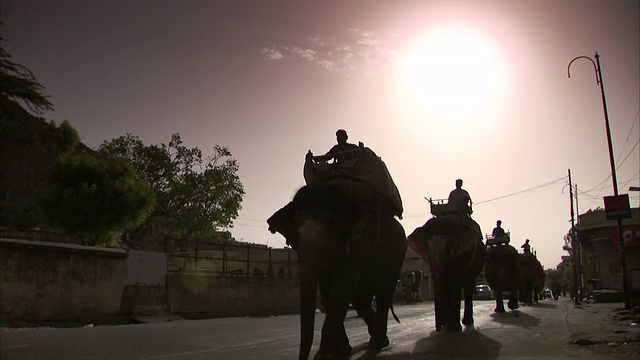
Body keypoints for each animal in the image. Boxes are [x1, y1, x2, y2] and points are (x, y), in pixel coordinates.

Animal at [268, 179, 408, 360]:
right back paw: (374, 335)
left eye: (333, 223)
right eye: (296, 223)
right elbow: (327, 291)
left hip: (398, 254)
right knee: (361, 298)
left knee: (383, 293)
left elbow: (343, 287)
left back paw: (379, 342)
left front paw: (324, 355)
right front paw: (341, 351)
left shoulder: (360, 242)